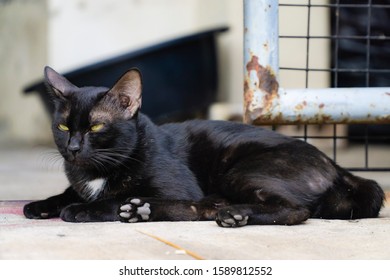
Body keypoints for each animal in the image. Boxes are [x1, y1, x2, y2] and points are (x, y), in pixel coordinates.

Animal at [23, 66, 384, 226]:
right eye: (63, 126)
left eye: (96, 126)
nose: (72, 148)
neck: (96, 172)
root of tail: (336, 166)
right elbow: (67, 192)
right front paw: (42, 204)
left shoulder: (176, 186)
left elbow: (112, 198)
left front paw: (82, 209)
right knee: (203, 208)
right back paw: (146, 211)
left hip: (239, 171)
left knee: (295, 210)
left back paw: (232, 214)